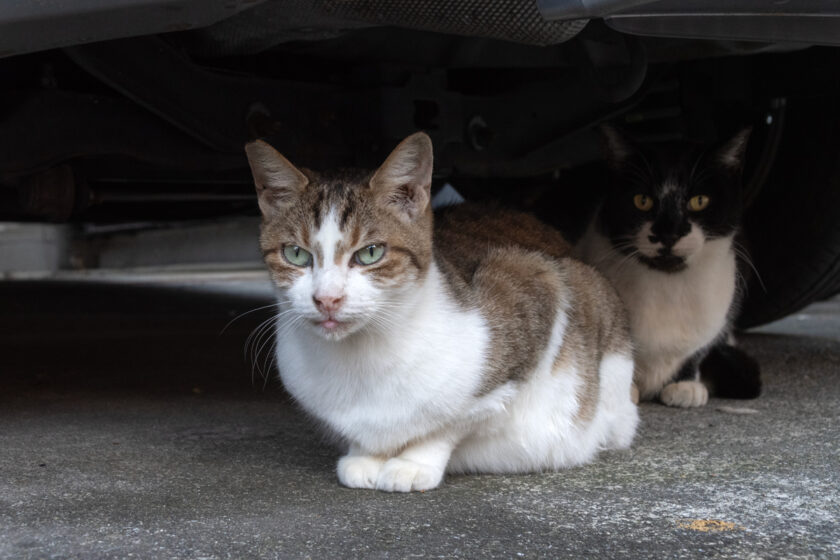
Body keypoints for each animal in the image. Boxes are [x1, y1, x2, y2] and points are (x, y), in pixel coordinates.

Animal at [246, 133, 640, 492]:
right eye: (296, 254)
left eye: (370, 253)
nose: (327, 299)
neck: (363, 355)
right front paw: (365, 456)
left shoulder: (536, 281)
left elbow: (450, 422)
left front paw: (413, 463)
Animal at [576, 126, 760, 406]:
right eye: (642, 200)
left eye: (699, 200)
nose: (669, 232)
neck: (669, 286)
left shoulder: (720, 315)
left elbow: (698, 350)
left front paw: (685, 385)